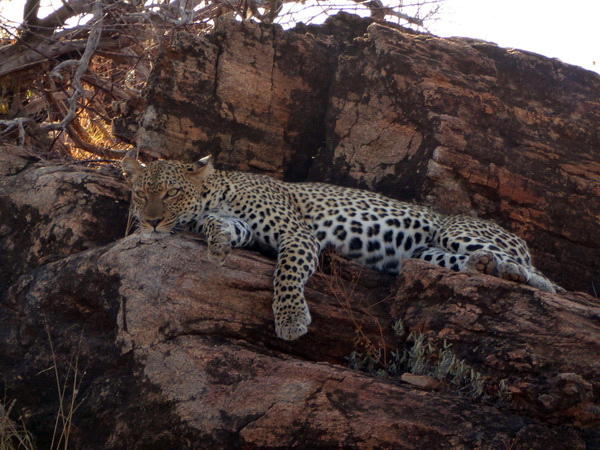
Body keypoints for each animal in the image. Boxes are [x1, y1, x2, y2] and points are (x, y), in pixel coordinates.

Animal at [123, 155, 564, 342]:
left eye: (170, 193)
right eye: (139, 193)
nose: (150, 222)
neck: (213, 196)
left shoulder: (297, 235)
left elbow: (286, 275)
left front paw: (290, 319)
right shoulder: (244, 226)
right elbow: (224, 227)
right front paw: (217, 246)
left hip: (457, 231)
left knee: (541, 277)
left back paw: (518, 273)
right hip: (425, 253)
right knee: (463, 261)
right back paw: (484, 266)